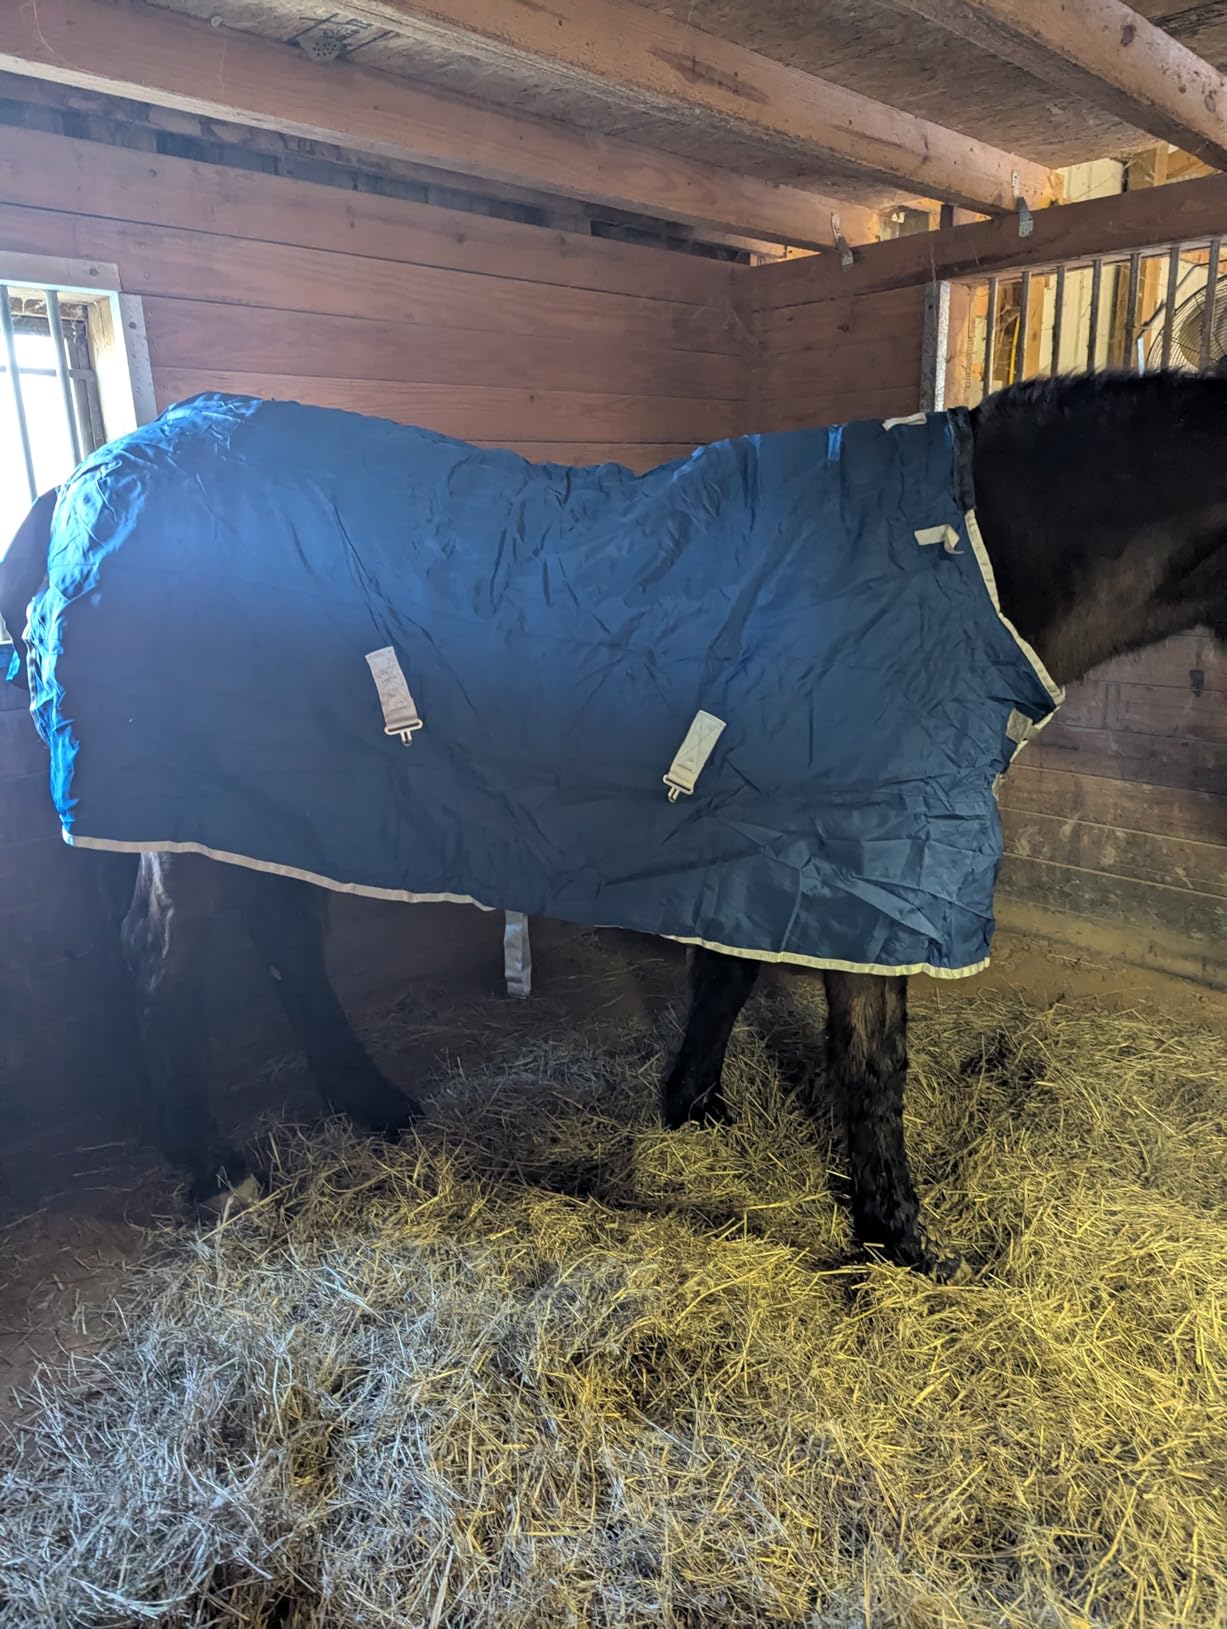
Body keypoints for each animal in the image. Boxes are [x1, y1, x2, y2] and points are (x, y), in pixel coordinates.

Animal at [3, 369, 1225, 1276]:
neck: (955, 560)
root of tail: (89, 472)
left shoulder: (768, 853)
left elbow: (725, 977)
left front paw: (696, 1107)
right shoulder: (870, 865)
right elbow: (872, 1063)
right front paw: (902, 1242)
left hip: (277, 804)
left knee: (284, 945)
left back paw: (372, 1103)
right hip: (184, 821)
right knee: (160, 966)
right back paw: (219, 1172)